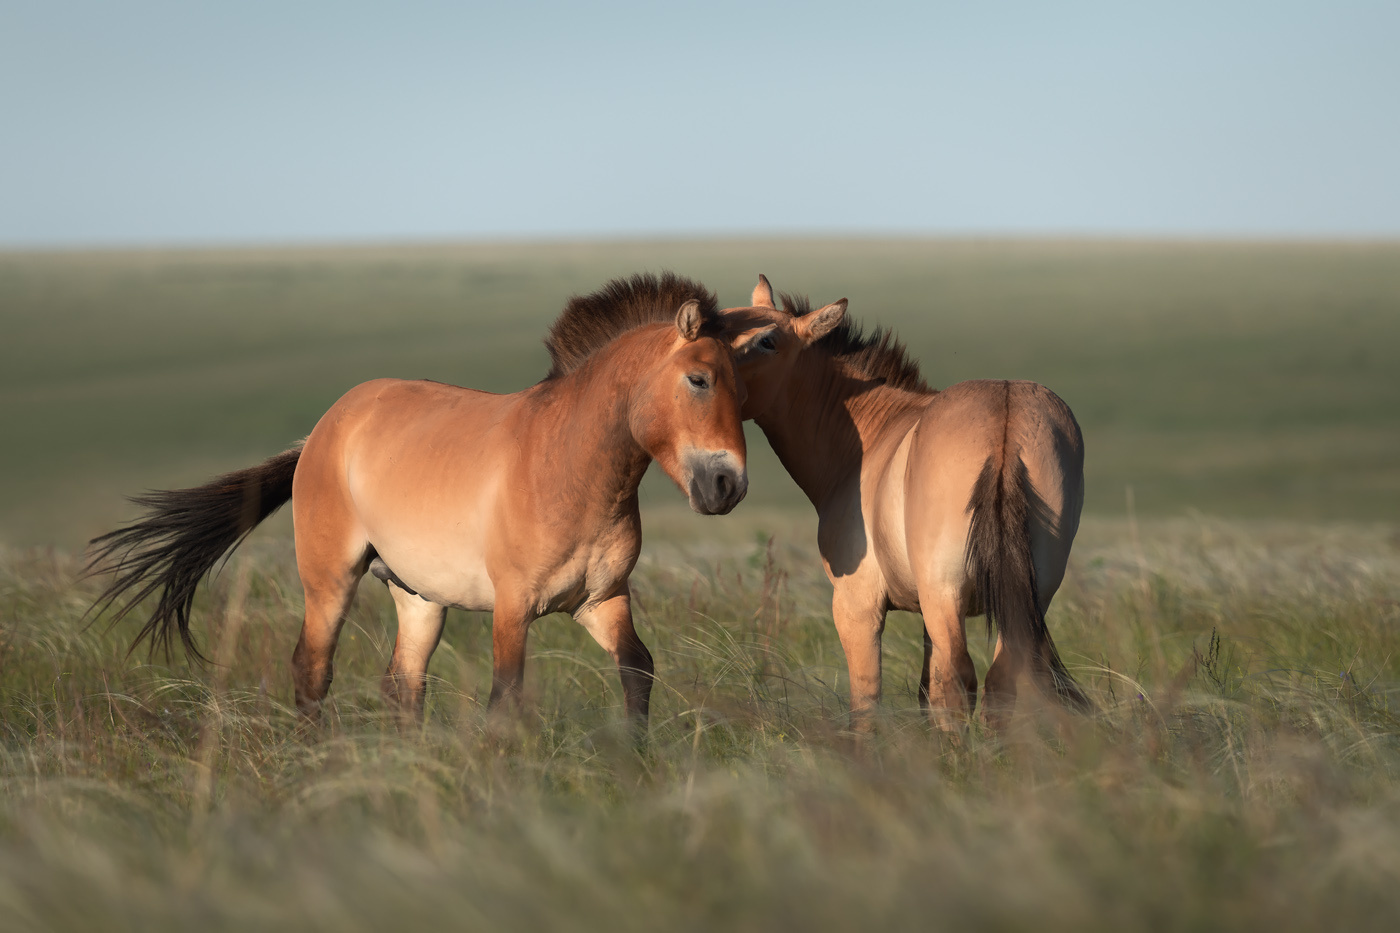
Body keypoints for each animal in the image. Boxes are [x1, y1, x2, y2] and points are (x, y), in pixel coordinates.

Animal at [87, 273, 750, 728]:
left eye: (743, 390)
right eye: (698, 380)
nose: (729, 487)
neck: (569, 467)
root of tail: (323, 430)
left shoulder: (600, 600)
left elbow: (637, 671)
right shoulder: (513, 608)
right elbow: (506, 699)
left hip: (418, 596)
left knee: (402, 685)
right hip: (330, 580)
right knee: (312, 670)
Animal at [717, 275, 1090, 731]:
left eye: (766, 341)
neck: (872, 437)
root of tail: (1006, 416)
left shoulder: (857, 607)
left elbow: (866, 701)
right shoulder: (931, 617)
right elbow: (925, 692)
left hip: (944, 593)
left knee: (959, 681)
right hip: (1020, 597)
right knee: (997, 680)